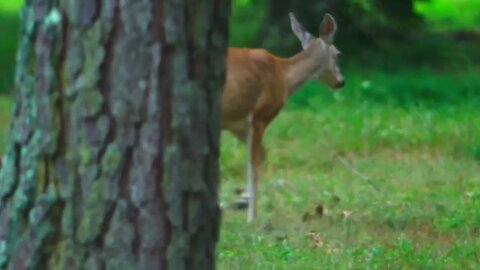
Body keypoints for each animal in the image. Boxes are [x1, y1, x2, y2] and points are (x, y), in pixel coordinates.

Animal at [221, 12, 344, 224]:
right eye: (338, 54)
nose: (341, 81)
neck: (284, 76)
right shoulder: (260, 115)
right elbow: (256, 161)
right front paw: (252, 218)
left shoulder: (236, 124)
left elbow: (256, 157)